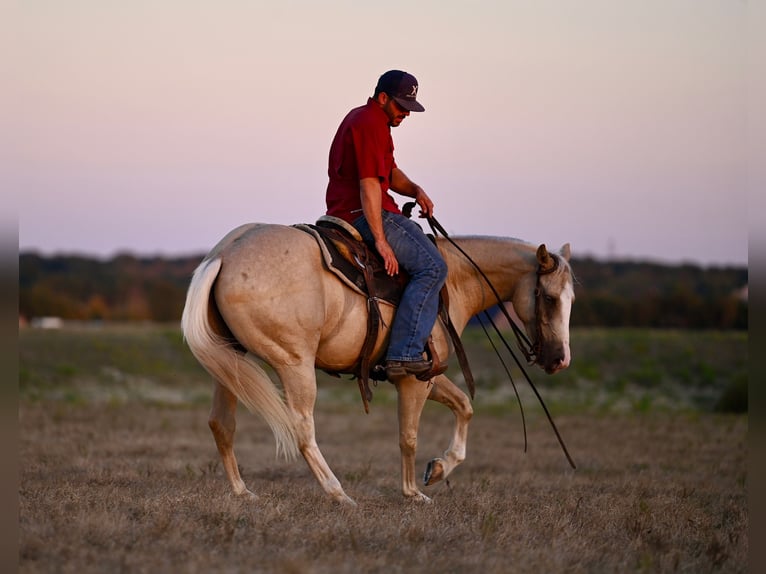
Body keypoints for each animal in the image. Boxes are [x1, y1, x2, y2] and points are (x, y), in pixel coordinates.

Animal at [183, 223, 572, 506]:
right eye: (550, 298)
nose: (559, 359)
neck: (453, 281)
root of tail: (224, 254)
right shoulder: (413, 380)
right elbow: (408, 436)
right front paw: (414, 492)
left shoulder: (427, 376)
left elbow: (464, 406)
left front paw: (439, 468)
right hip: (294, 364)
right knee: (302, 429)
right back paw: (338, 493)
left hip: (231, 362)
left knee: (222, 424)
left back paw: (242, 491)